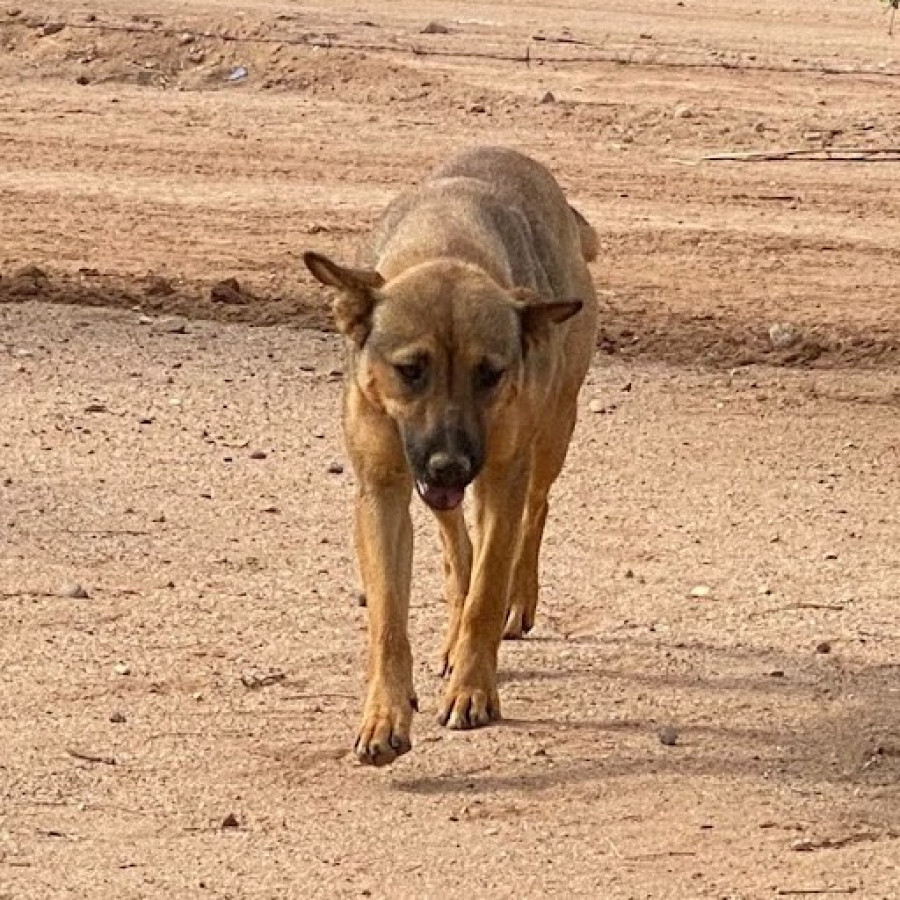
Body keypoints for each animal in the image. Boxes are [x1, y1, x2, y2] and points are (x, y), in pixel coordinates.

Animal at [302, 148, 596, 768]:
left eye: (490, 374)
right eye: (411, 370)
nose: (451, 466)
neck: (446, 242)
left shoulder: (502, 477)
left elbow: (487, 589)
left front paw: (473, 690)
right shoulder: (384, 490)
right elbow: (389, 619)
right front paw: (385, 715)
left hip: (550, 437)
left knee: (533, 514)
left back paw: (517, 601)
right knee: (458, 546)